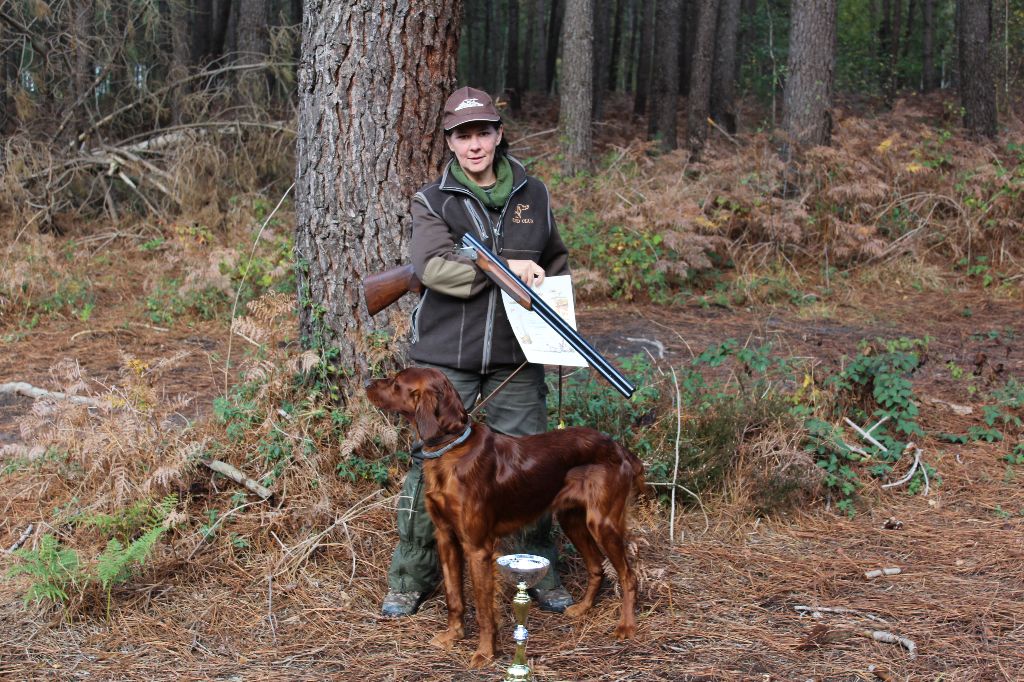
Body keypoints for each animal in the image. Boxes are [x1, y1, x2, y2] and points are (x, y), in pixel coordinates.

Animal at [364, 368, 643, 667]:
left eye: (396, 383)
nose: (367, 382)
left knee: (628, 575)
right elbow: (454, 596)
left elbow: (484, 608)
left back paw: (626, 626)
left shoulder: (478, 549)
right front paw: (453, 635)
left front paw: (485, 652)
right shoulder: (446, 537)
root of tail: (619, 448)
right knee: (596, 567)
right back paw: (581, 608)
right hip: (573, 520)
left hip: (603, 523)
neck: (451, 451)